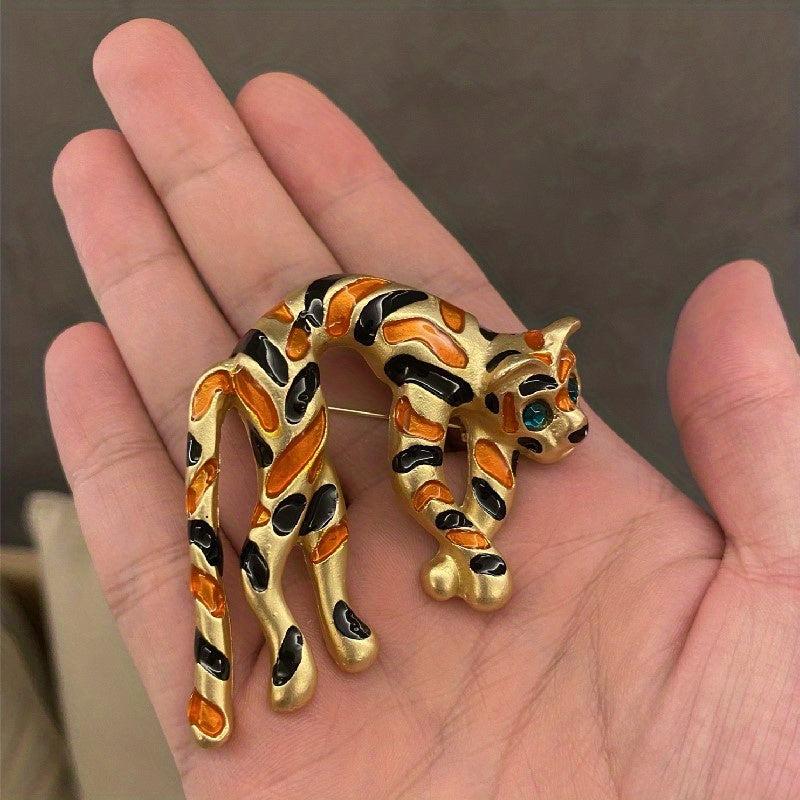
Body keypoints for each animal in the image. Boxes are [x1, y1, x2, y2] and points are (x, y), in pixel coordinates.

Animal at [185, 274, 588, 745]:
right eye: (538, 412)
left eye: (574, 389)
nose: (579, 431)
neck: (481, 360)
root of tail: (235, 361)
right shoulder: (421, 419)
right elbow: (445, 511)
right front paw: (485, 574)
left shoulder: (495, 449)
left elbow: (487, 509)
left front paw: (446, 572)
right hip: (292, 439)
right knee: (255, 559)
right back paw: (291, 666)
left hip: (314, 463)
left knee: (322, 544)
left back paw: (349, 640)